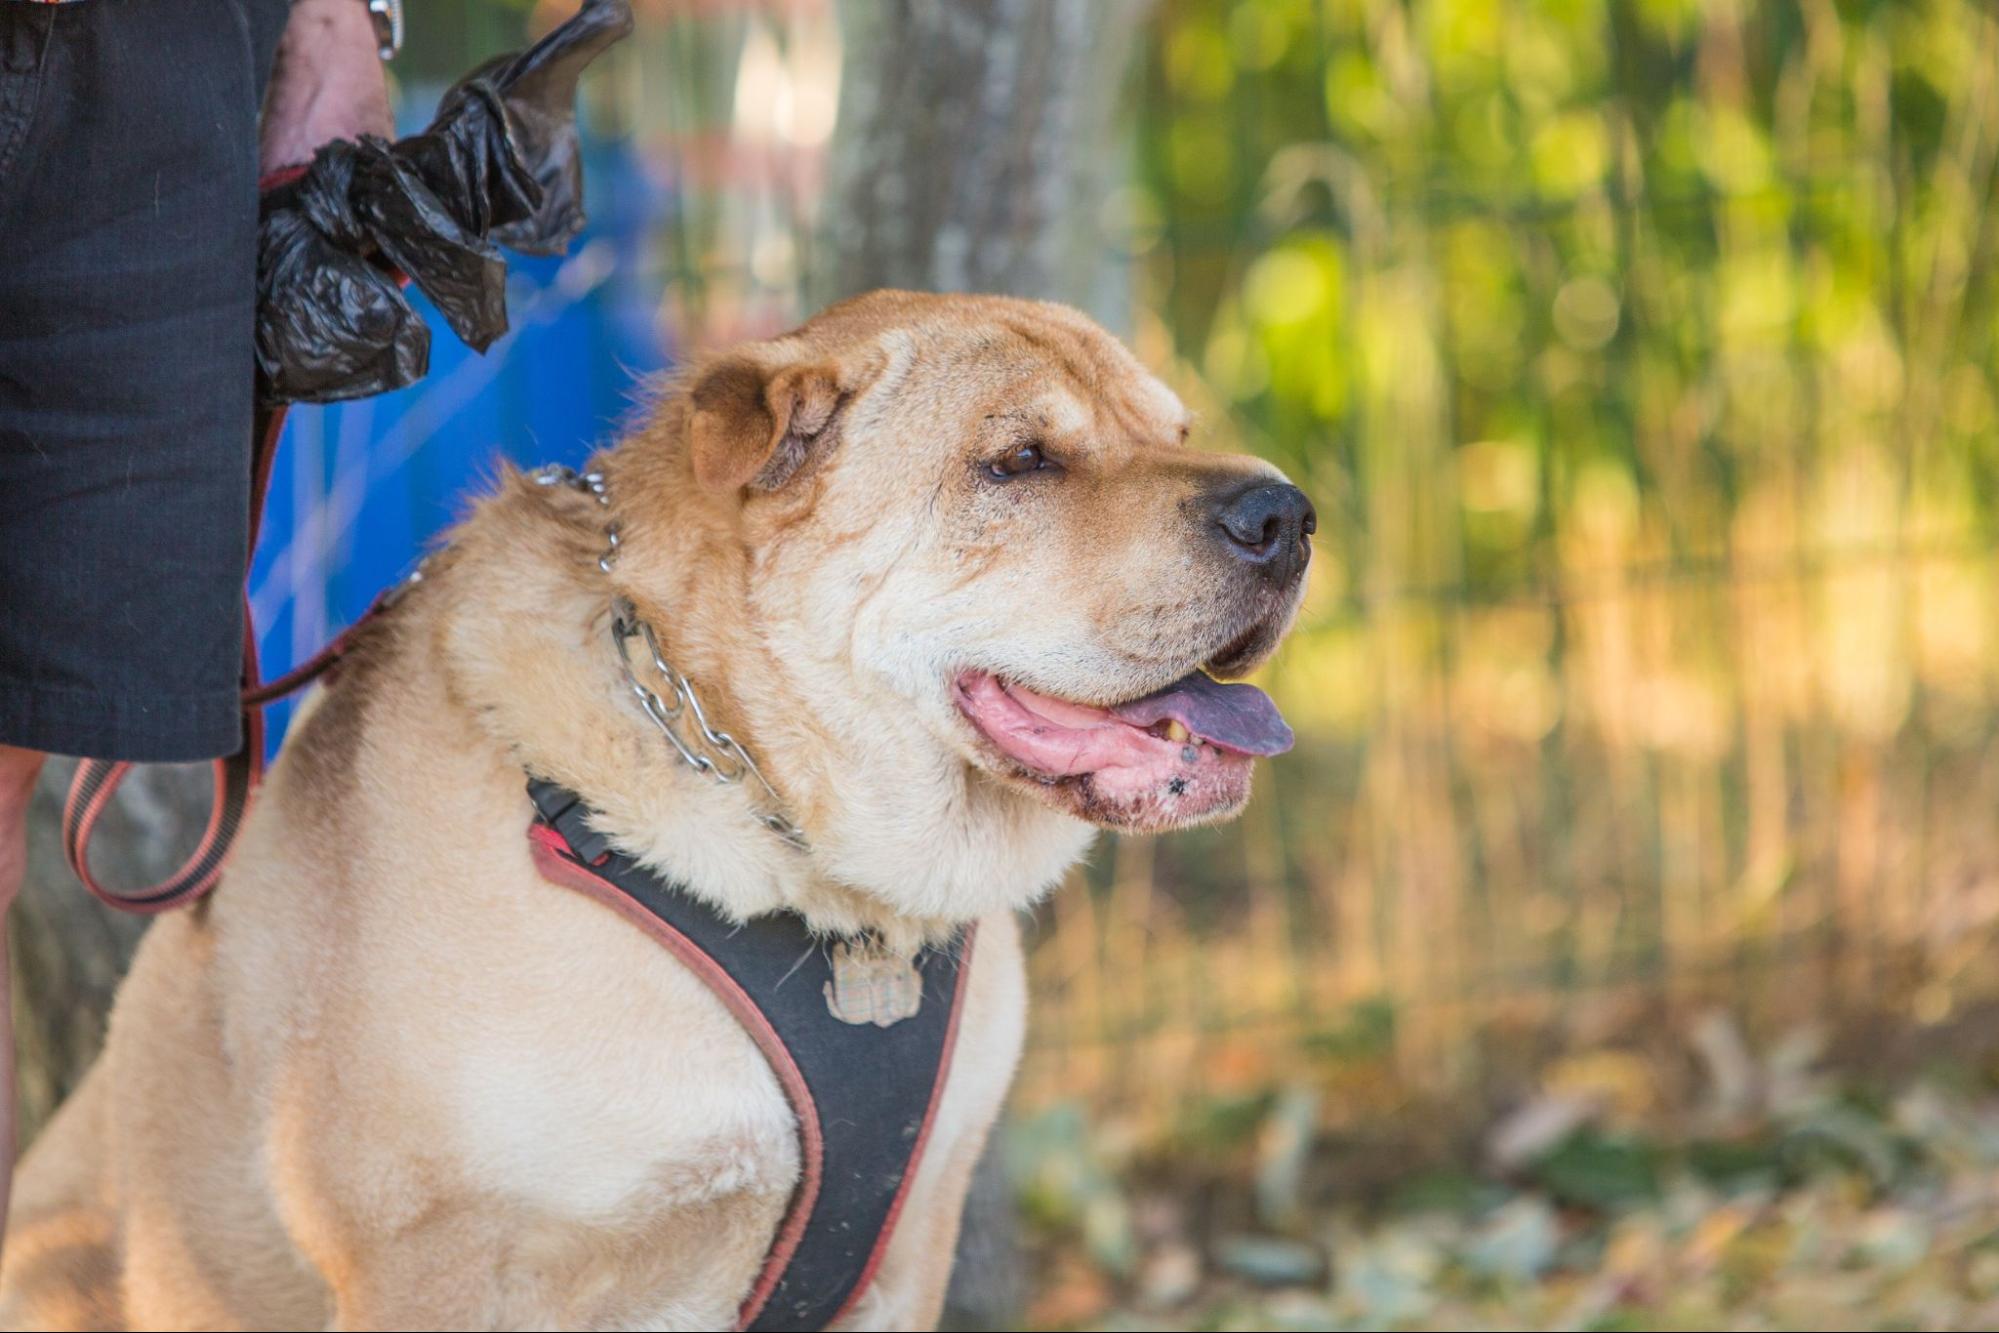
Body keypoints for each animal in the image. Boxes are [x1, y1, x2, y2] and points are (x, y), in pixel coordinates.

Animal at [0, 293, 1311, 1333]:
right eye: (1022, 461)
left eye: (1173, 433)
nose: (1287, 516)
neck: (818, 877)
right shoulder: (429, 1256)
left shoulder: (908, 1243)